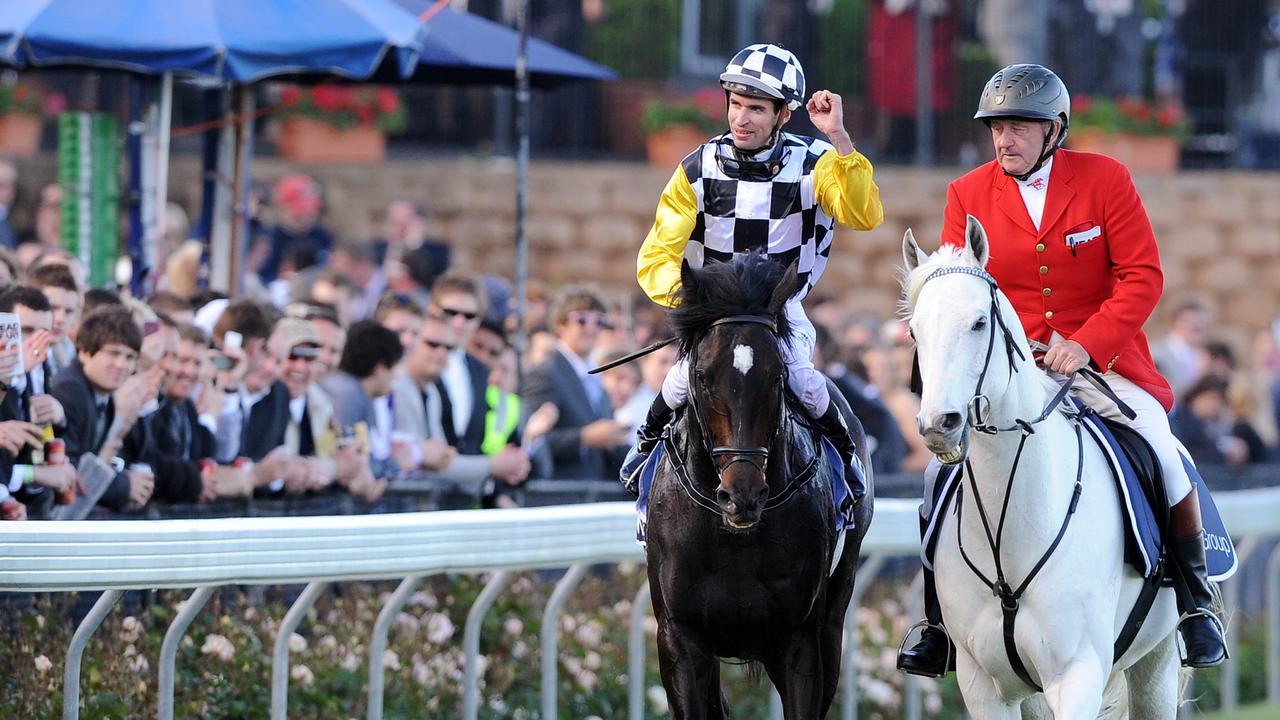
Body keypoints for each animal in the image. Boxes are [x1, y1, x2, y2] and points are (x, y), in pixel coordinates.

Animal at [645, 254, 875, 712]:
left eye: (777, 376)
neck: (732, 538)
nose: (743, 496)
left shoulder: (799, 639)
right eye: (702, 375)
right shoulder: (680, 639)